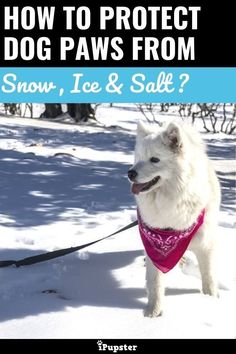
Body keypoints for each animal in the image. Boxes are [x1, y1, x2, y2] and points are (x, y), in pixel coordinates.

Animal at [128, 121, 220, 318]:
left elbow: (208, 275)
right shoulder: (154, 249)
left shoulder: (205, 244)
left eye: (155, 160)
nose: (130, 173)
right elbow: (155, 283)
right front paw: (153, 312)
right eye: (138, 158)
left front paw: (211, 299)